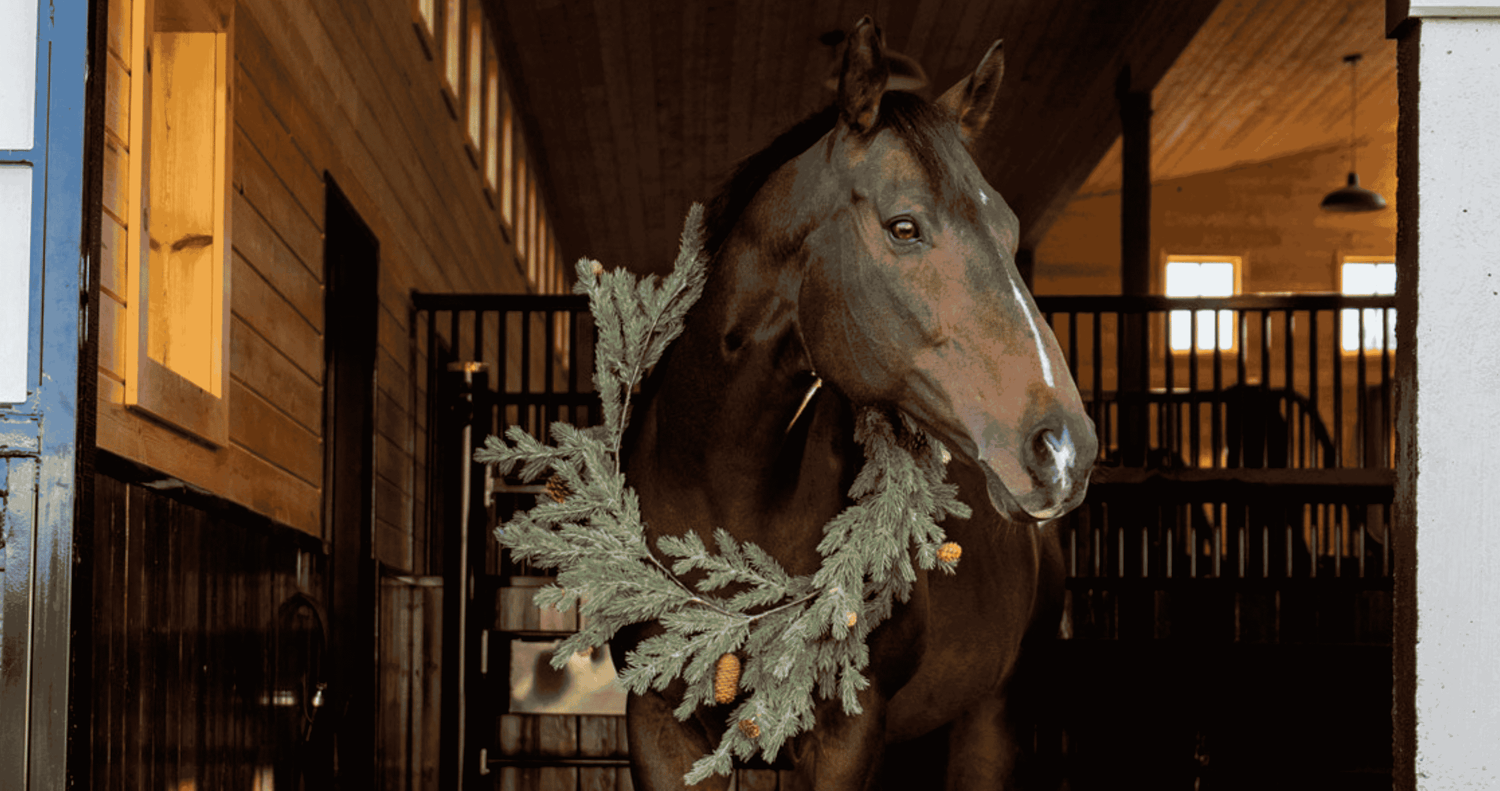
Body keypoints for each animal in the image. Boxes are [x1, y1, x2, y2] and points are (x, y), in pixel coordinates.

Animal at [615, 17, 1098, 786]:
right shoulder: (659, 720)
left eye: (1013, 234)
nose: (1064, 450)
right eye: (904, 226)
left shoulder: (852, 731)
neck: (724, 493)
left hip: (992, 719)